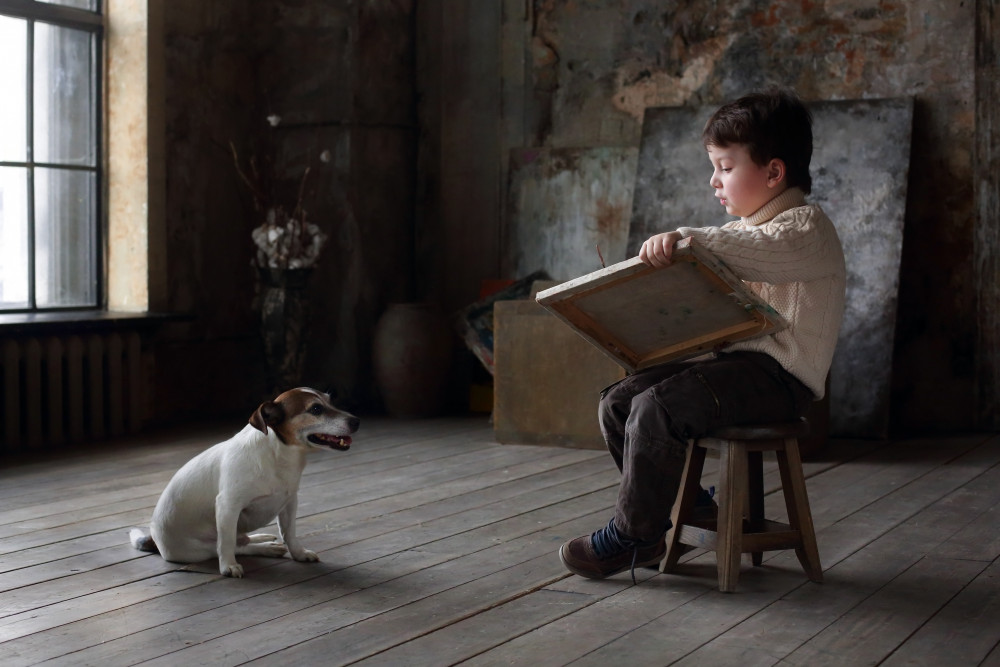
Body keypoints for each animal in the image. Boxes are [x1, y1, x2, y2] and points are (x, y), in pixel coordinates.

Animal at [129, 387, 359, 578]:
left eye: (331, 400)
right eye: (316, 409)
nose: (356, 421)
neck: (279, 456)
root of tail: (153, 539)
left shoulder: (289, 503)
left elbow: (290, 533)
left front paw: (299, 553)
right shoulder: (227, 506)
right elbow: (227, 542)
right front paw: (229, 566)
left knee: (243, 540)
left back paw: (263, 540)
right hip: (198, 549)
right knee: (233, 546)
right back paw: (263, 548)